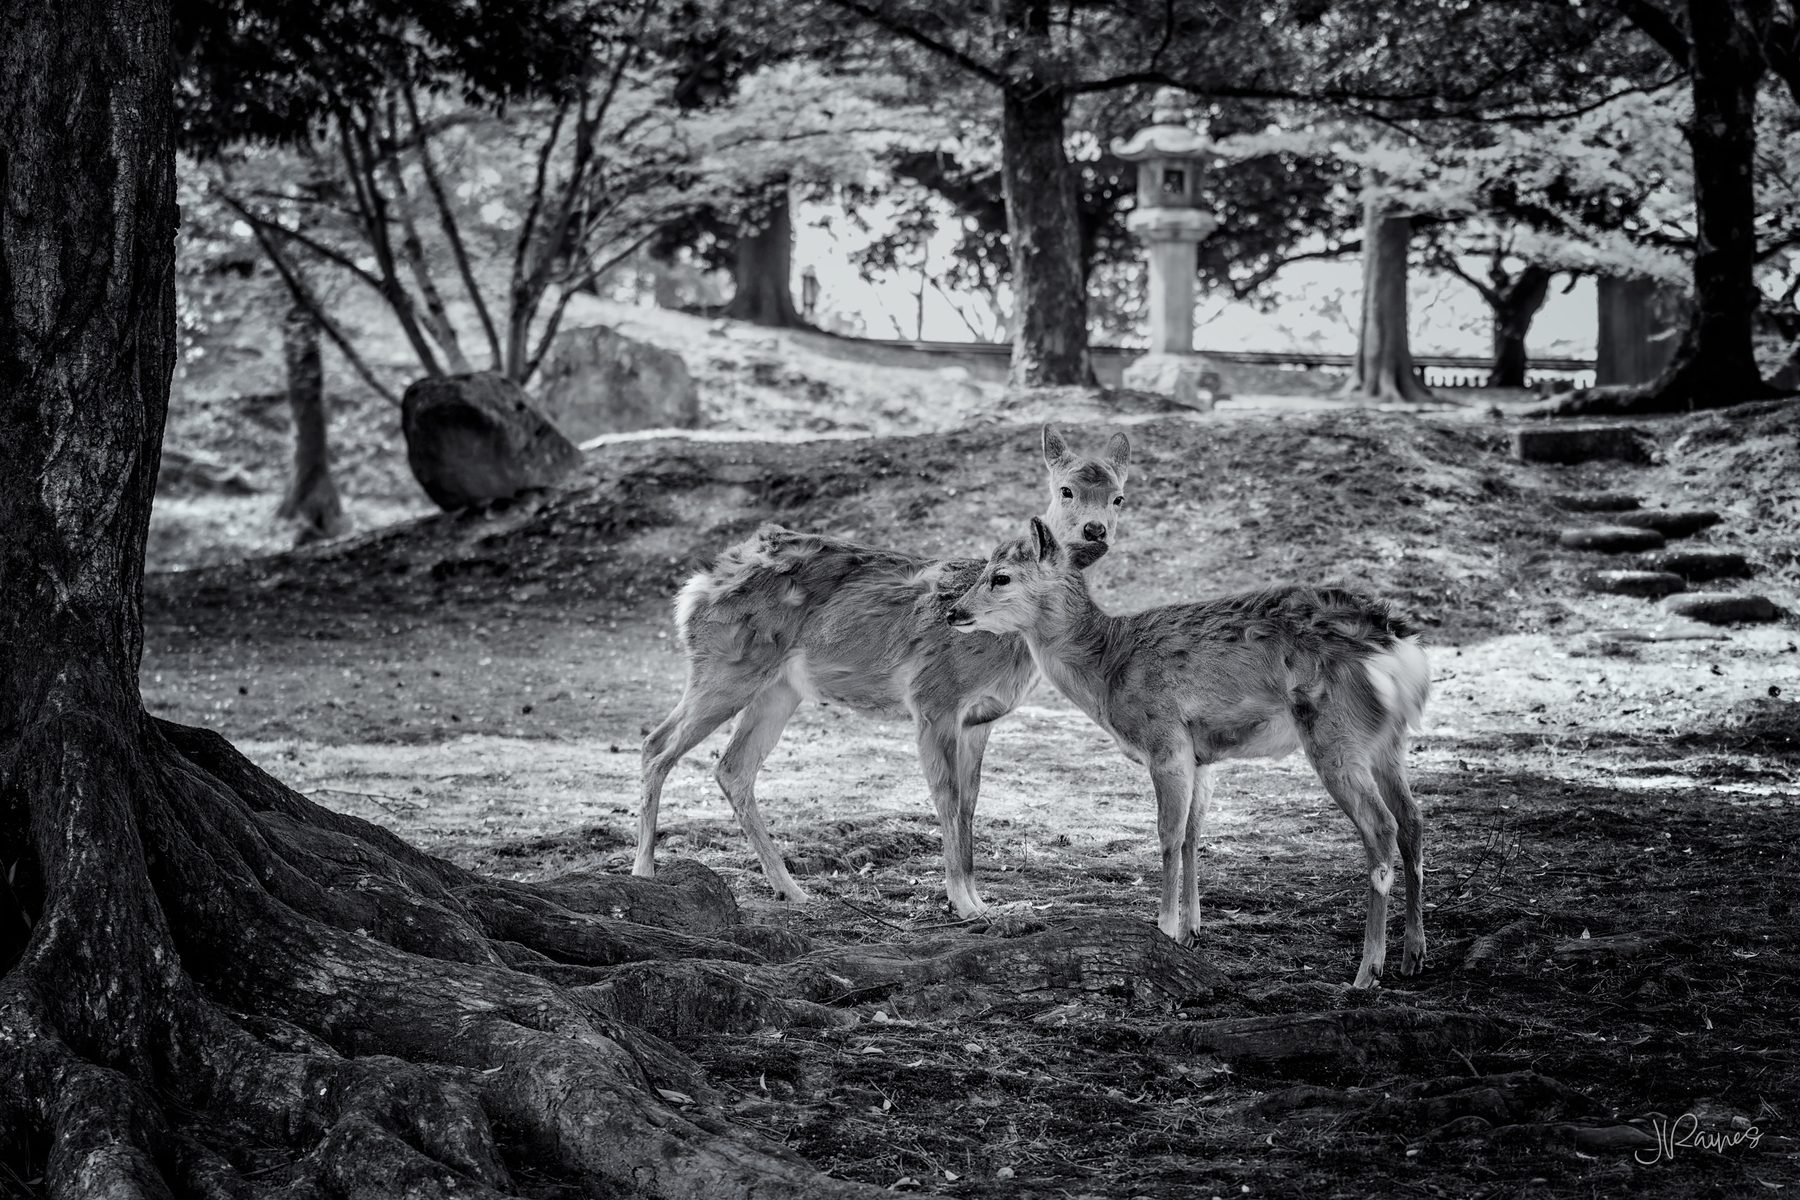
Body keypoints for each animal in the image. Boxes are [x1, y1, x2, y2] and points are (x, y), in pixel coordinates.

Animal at [635, 425, 1131, 918]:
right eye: (1065, 489)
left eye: (1118, 496)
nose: (1095, 531)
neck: (1007, 643)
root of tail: (697, 586)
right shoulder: (934, 698)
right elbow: (947, 797)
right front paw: (961, 903)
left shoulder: (980, 718)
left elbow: (970, 803)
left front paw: (979, 901)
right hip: (726, 666)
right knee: (657, 744)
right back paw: (644, 871)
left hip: (777, 688)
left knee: (732, 767)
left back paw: (792, 889)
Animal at [944, 517, 1430, 988]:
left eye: (1000, 577)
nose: (953, 612)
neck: (1109, 669)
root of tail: (1399, 651)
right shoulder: (1202, 757)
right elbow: (1195, 833)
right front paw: (1190, 932)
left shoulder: (1166, 739)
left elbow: (1168, 834)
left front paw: (1163, 927)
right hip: (1387, 739)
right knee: (1412, 819)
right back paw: (1413, 956)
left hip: (1335, 731)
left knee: (1381, 826)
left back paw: (1368, 971)